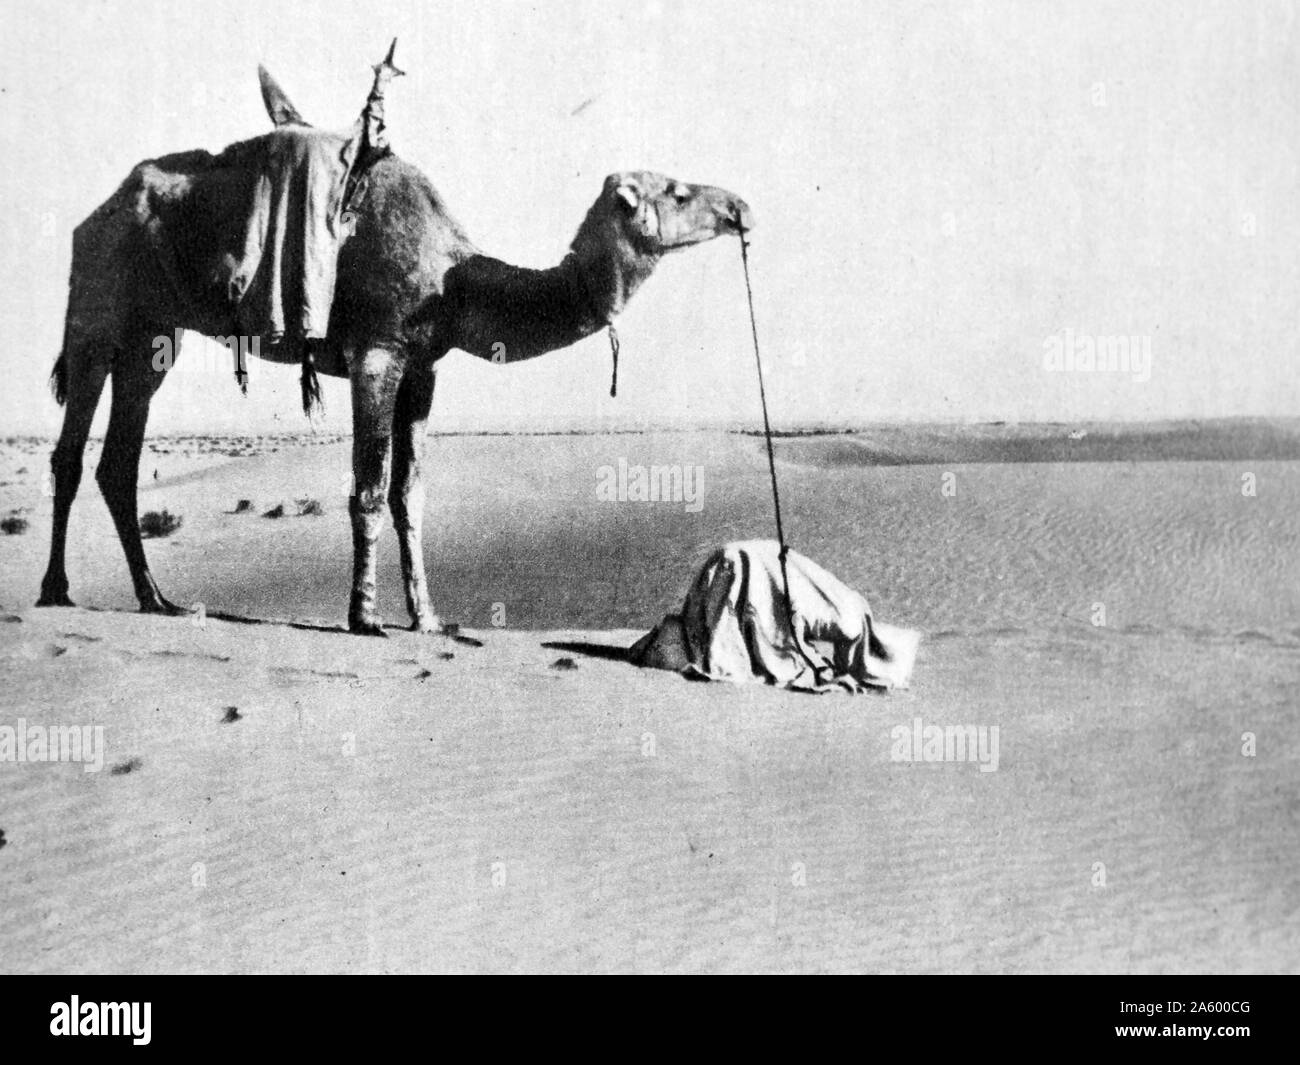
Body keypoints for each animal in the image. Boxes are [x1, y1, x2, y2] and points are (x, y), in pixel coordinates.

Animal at [38, 50, 754, 631]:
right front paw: (365, 616)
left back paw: (157, 600)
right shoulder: (377, 353)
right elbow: (369, 487)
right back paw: (55, 592)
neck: (454, 277)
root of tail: (99, 210)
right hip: (96, 312)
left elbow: (411, 494)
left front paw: (428, 618)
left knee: (119, 460)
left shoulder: (424, 366)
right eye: (678, 192)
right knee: (71, 451)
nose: (740, 207)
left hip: (154, 335)